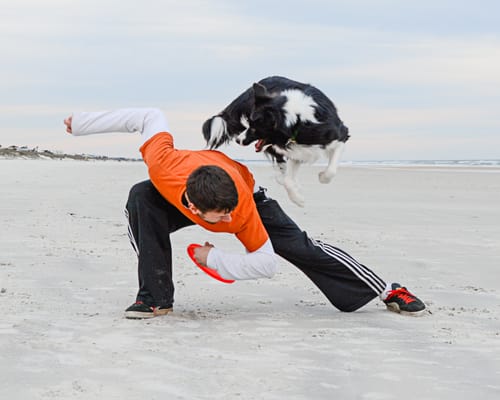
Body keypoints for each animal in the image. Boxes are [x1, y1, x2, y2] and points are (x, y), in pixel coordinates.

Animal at [201, 76, 350, 206]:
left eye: (254, 128)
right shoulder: (295, 149)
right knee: (281, 168)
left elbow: (331, 170)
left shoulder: (339, 135)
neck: (297, 121)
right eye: (248, 123)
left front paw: (322, 177)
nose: (238, 140)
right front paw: (299, 200)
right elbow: (288, 180)